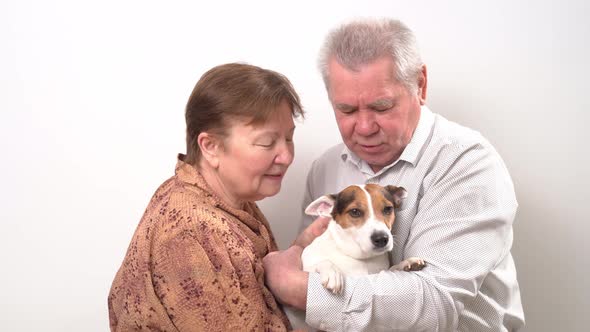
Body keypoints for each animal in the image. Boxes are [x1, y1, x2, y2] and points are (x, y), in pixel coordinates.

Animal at [286, 183, 426, 330]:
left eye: (388, 209)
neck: (359, 258)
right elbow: (323, 262)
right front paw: (332, 273)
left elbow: (391, 269)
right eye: (355, 212)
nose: (382, 239)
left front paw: (406, 263)